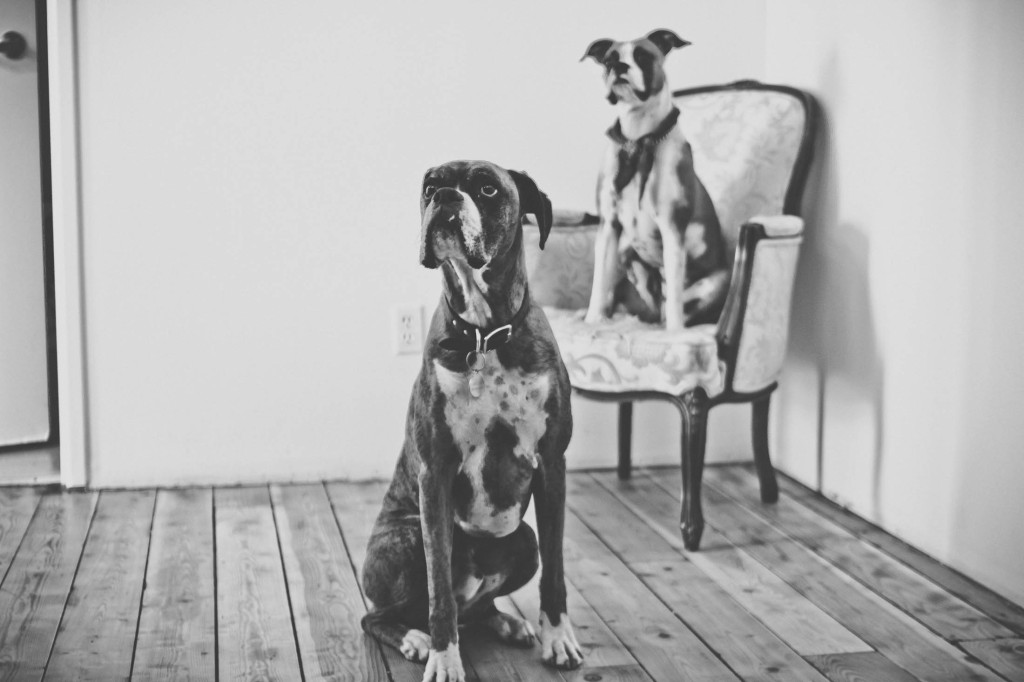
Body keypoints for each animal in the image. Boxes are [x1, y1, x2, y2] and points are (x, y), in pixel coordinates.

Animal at [585, 29, 729, 329]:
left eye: (642, 56)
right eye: (609, 59)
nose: (619, 66)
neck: (639, 139)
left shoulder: (672, 228)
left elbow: (674, 295)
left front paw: (675, 333)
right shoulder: (608, 226)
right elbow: (599, 282)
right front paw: (593, 319)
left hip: (714, 284)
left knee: (675, 304)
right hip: (627, 255)